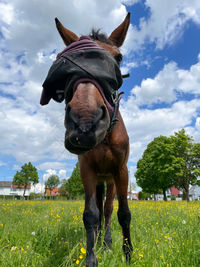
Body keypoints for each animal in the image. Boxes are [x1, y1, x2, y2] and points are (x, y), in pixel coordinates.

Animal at [40, 13, 132, 267]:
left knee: (108, 210)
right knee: (100, 211)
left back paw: (107, 243)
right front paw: (91, 256)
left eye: (118, 57)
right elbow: (91, 214)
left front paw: (128, 253)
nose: (85, 123)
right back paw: (100, 242)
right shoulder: (87, 170)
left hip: (110, 180)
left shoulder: (120, 171)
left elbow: (123, 213)